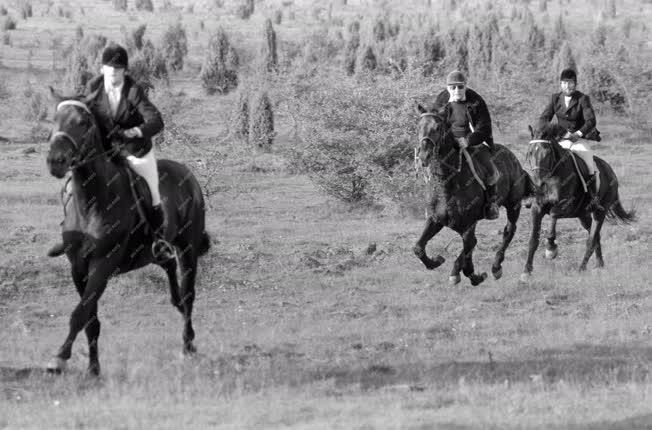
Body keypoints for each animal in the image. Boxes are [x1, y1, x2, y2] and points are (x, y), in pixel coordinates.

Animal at [44, 89, 211, 374]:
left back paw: (188, 345)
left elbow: (80, 313)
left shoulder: (103, 264)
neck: (91, 202)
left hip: (188, 249)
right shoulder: (78, 267)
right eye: (54, 120)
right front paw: (94, 369)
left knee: (189, 295)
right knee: (170, 272)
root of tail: (187, 174)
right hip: (156, 251)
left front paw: (60, 357)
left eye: (83, 123)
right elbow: (90, 319)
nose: (56, 161)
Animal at [412, 104, 536, 286]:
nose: (423, 156)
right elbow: (418, 247)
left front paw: (468, 275)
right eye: (418, 127)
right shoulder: (435, 220)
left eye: (438, 127)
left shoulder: (468, 225)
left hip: (513, 204)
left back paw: (496, 267)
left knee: (509, 230)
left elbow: (468, 253)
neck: (447, 182)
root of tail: (514, 158)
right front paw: (436, 261)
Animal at [520, 122, 636, 280]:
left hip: (599, 212)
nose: (538, 183)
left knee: (591, 240)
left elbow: (553, 214)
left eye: (547, 153)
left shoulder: (566, 206)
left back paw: (582, 268)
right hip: (583, 215)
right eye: (530, 152)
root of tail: (610, 171)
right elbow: (533, 240)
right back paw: (599, 265)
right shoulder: (537, 208)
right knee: (595, 237)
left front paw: (551, 248)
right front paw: (526, 271)